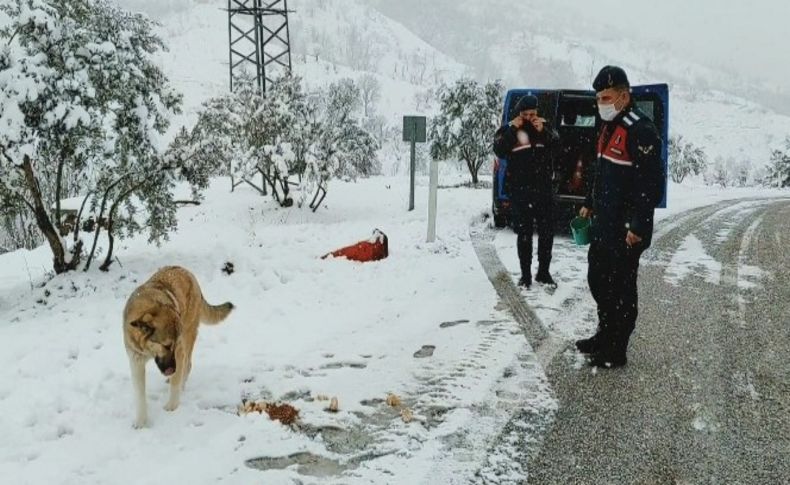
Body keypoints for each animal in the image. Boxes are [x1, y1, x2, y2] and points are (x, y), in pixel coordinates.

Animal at [124, 264, 234, 428]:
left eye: (174, 345)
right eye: (166, 345)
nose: (172, 370)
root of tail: (185, 270)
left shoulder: (179, 351)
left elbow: (176, 381)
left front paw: (172, 407)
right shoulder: (136, 361)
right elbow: (140, 395)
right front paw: (141, 422)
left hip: (188, 336)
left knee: (188, 365)